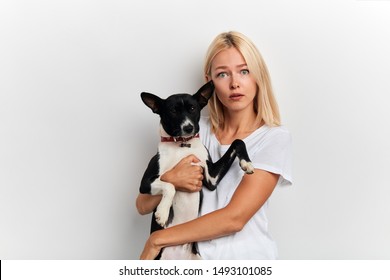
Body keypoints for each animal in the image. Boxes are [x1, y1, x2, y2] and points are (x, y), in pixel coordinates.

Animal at [139, 81, 254, 260]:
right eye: (173, 111)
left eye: (193, 108)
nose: (188, 127)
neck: (182, 145)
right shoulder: (145, 184)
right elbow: (170, 185)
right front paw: (162, 212)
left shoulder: (211, 178)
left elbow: (238, 141)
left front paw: (246, 163)